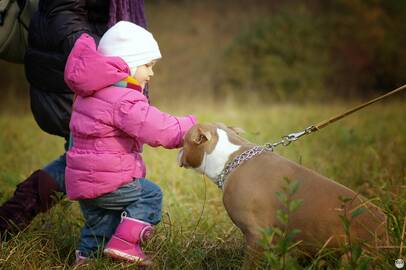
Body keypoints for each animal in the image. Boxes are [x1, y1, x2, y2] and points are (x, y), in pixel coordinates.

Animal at [178, 123, 386, 268]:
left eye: (184, 142)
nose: (179, 150)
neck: (231, 158)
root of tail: (385, 226)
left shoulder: (257, 235)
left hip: (353, 256)